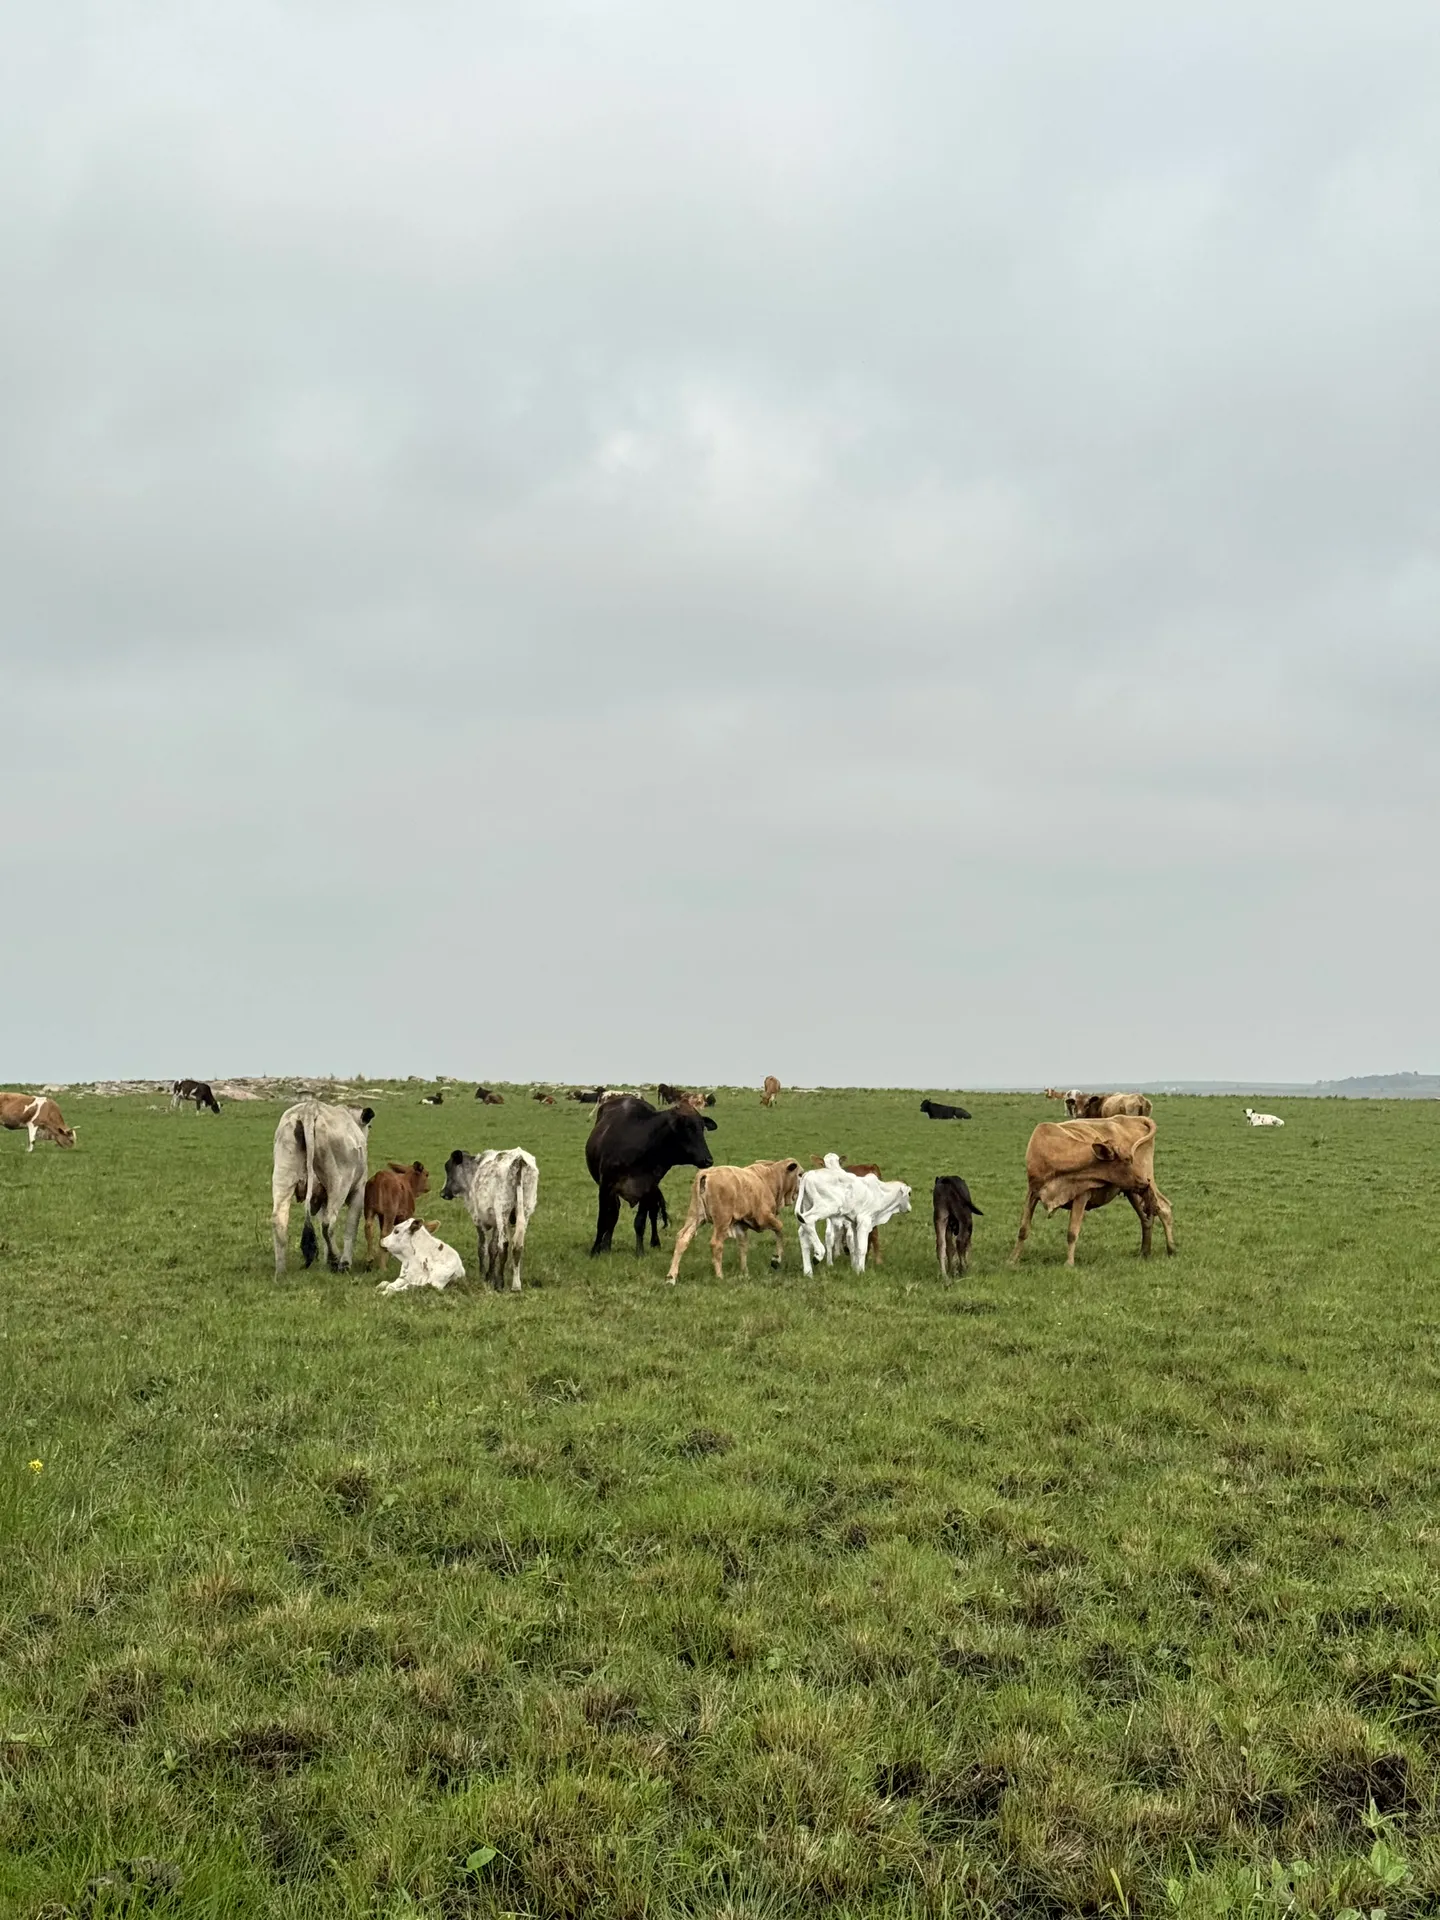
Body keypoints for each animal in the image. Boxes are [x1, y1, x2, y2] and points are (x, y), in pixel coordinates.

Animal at [271, 1099, 374, 1276]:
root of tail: (310, 1108)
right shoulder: (359, 1191)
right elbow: (350, 1229)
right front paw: (345, 1262)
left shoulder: (320, 1198)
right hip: (338, 1185)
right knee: (328, 1223)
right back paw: (336, 1259)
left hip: (282, 1179)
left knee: (280, 1220)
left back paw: (281, 1272)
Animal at [585, 1094, 716, 1254]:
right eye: (687, 1127)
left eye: (702, 1128)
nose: (708, 1160)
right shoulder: (606, 1186)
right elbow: (603, 1220)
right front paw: (596, 1249)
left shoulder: (647, 1189)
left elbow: (640, 1222)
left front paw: (640, 1252)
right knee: (613, 1214)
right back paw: (606, 1245)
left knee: (652, 1214)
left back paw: (655, 1242)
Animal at [666, 1159, 803, 1283]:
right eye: (801, 1174)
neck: (769, 1179)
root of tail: (706, 1173)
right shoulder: (764, 1217)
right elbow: (780, 1227)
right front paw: (776, 1259)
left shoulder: (740, 1225)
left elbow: (743, 1245)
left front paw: (745, 1272)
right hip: (722, 1219)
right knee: (716, 1243)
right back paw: (719, 1276)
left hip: (695, 1215)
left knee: (683, 1238)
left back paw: (671, 1277)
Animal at [1010, 1116, 1175, 1269]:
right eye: (1128, 1159)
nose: (1144, 1180)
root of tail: (1136, 1118)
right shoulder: (1032, 1192)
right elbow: (1023, 1229)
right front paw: (1012, 1260)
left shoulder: (1081, 1195)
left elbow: (1072, 1232)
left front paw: (1069, 1263)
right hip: (1132, 1191)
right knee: (1146, 1219)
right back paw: (1144, 1252)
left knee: (1163, 1208)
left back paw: (1171, 1250)